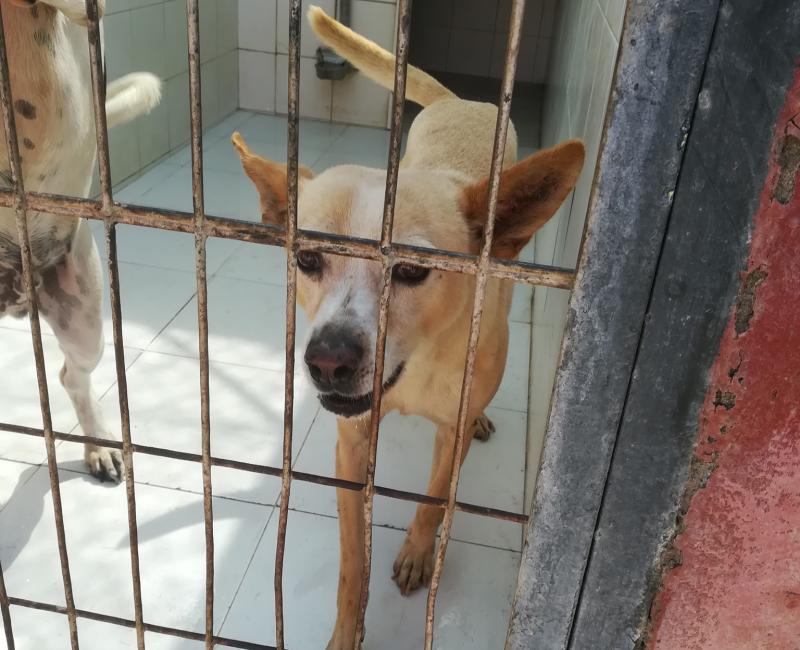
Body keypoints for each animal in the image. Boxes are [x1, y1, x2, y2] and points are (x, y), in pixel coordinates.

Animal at [232, 7, 584, 648]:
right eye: (307, 258)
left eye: (414, 270)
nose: (328, 361)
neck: (415, 369)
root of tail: (460, 100)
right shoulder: (350, 446)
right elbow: (352, 563)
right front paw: (347, 629)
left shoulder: (450, 429)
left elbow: (433, 499)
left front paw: (419, 555)